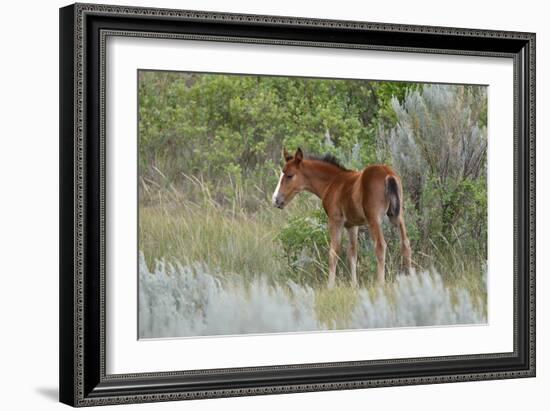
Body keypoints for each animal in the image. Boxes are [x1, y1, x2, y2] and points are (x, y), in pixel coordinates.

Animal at [274, 149, 412, 290]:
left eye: (289, 175)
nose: (276, 200)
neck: (332, 182)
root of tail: (388, 174)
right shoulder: (352, 225)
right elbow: (352, 253)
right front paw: (354, 285)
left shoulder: (335, 221)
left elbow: (333, 252)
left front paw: (330, 286)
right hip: (398, 216)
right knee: (405, 244)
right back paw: (411, 279)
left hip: (374, 219)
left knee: (380, 246)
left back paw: (380, 283)